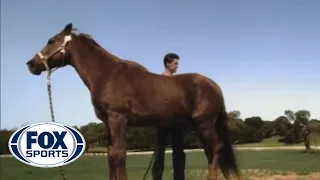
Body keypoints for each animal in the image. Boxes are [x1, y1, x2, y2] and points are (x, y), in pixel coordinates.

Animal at [25, 22, 240, 180]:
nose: (31, 64)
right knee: (213, 151)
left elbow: (120, 155)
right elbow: (111, 156)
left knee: (217, 148)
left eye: (51, 40)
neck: (107, 74)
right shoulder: (108, 123)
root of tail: (215, 86)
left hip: (204, 124)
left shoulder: (118, 119)